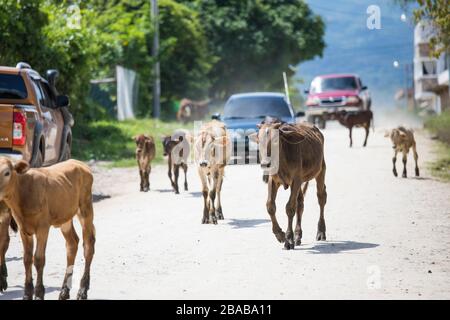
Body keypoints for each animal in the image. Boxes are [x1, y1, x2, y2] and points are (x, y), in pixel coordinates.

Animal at [0, 159, 96, 302]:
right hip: (65, 217)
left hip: (85, 207)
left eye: (7, 172)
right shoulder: (23, 229)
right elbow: (27, 259)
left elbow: (39, 259)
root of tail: (79, 163)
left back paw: (82, 291)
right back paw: (64, 291)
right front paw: (27, 294)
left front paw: (39, 293)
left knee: (88, 245)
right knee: (72, 243)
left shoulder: (43, 227)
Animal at [250, 117, 326, 250]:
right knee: (300, 203)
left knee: (321, 197)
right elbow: (270, 206)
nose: (265, 164)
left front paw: (288, 239)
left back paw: (321, 232)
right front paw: (280, 234)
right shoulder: (273, 180)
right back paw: (298, 235)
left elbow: (290, 208)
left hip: (320, 170)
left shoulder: (295, 180)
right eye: (259, 140)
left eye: (276, 141)